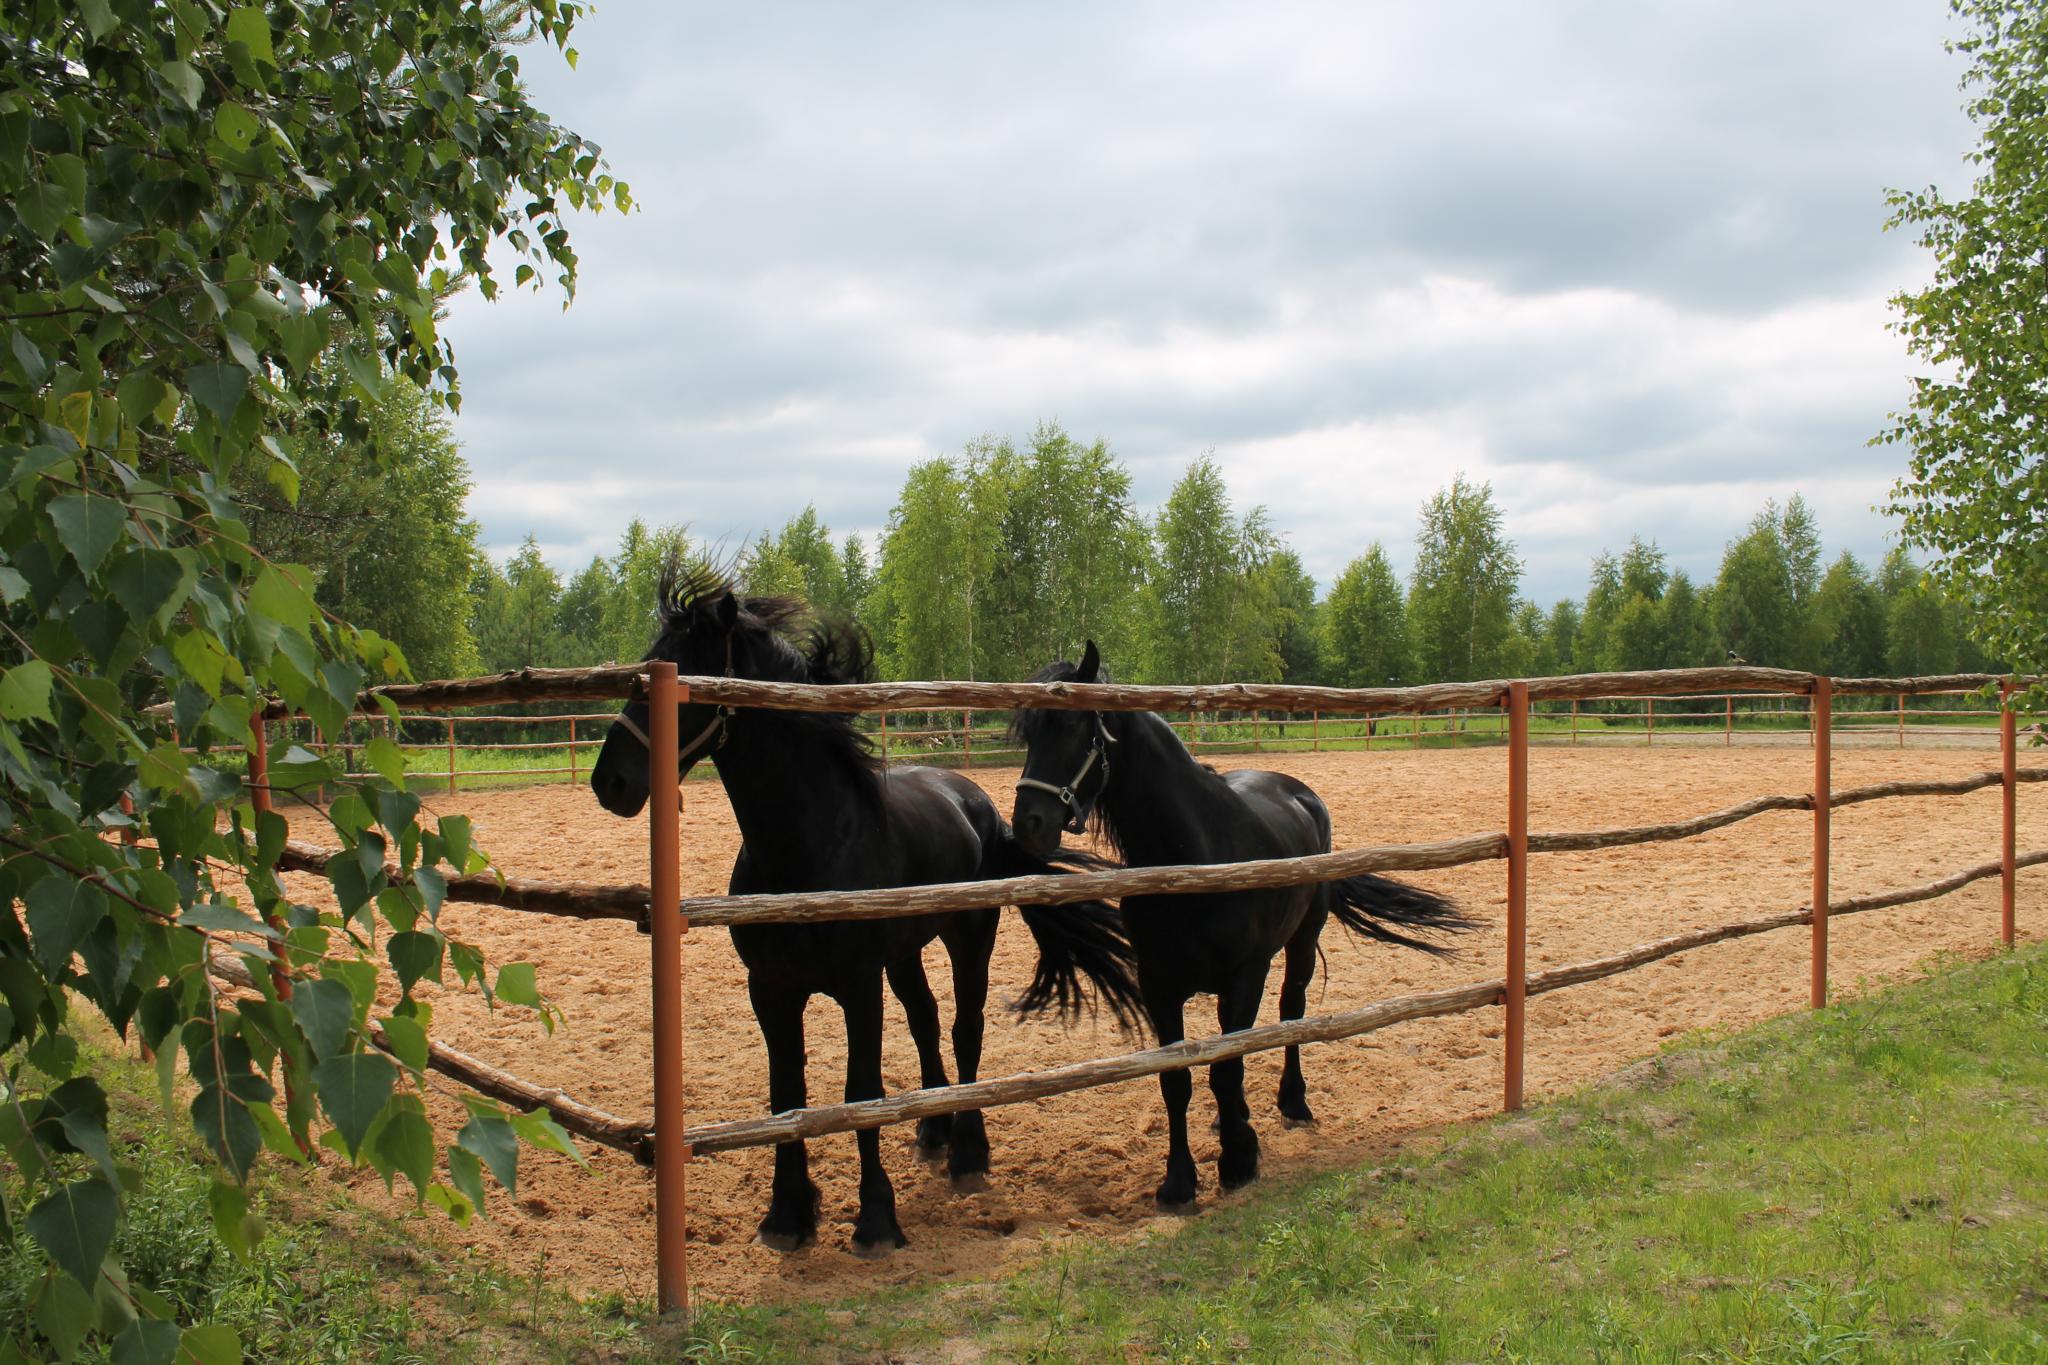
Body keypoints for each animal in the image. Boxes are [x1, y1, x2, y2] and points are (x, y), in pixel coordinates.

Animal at [585, 564, 1146, 1260]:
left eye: (685, 671)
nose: (610, 782)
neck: (809, 845)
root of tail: (979, 804)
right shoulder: (771, 989)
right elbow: (787, 1095)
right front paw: (787, 1215)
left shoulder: (858, 987)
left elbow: (863, 1092)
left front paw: (876, 1219)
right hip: (904, 955)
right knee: (927, 1020)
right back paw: (932, 1131)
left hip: (969, 937)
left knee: (964, 1029)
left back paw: (967, 1153)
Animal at [1007, 646, 1474, 1211]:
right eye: (1031, 734)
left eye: (1075, 726)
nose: (1028, 825)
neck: (1195, 854)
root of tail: (1299, 792)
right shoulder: (1157, 985)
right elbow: (1179, 1080)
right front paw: (1179, 1181)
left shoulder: (1245, 977)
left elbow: (1227, 1068)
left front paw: (1237, 1161)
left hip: (1301, 942)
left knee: (1291, 1015)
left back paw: (1292, 1103)